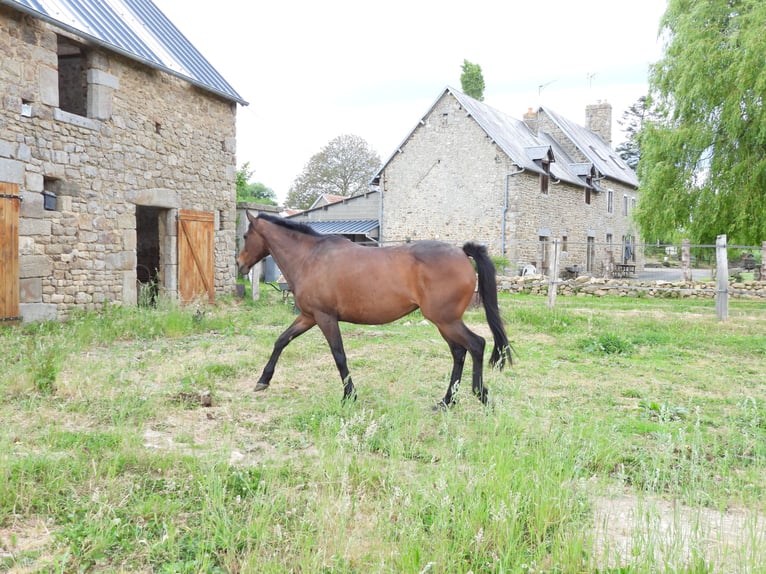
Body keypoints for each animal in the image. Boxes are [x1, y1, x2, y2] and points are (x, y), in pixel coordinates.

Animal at [238, 213, 516, 410]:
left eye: (244, 236)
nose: (240, 265)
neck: (310, 257)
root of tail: (461, 252)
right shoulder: (308, 316)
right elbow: (281, 340)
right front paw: (263, 380)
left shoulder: (325, 318)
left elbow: (339, 356)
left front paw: (349, 396)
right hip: (445, 322)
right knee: (459, 352)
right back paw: (447, 401)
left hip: (445, 320)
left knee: (476, 345)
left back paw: (479, 395)